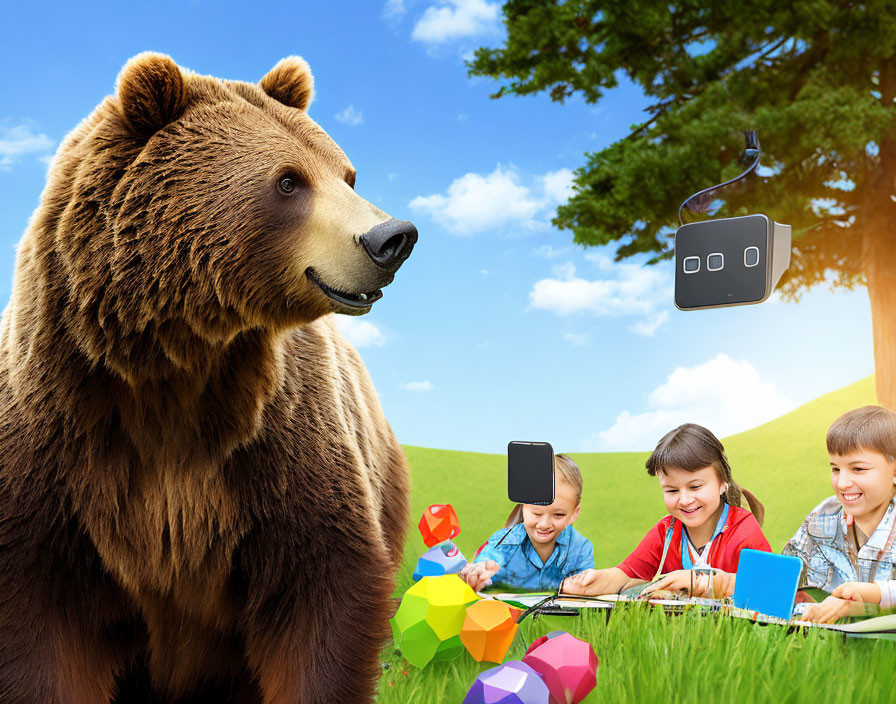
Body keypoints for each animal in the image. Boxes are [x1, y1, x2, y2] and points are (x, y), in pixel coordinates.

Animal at [0, 52, 416, 700]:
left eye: (348, 176)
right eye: (289, 181)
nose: (391, 237)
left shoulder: (277, 442)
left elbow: (322, 590)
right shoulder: (57, 442)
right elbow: (40, 619)